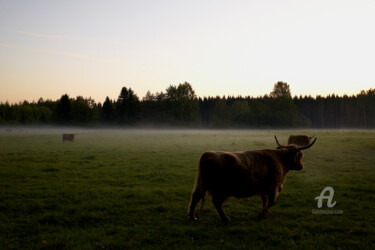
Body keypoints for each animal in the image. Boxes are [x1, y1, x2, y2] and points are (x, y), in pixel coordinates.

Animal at [188, 136, 318, 222]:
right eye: (300, 155)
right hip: (220, 189)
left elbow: (265, 201)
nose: (301, 166)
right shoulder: (273, 186)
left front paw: (263, 212)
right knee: (216, 202)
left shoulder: (264, 189)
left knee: (195, 197)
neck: (280, 160)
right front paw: (261, 214)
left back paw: (192, 216)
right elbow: (271, 201)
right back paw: (226, 219)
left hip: (200, 184)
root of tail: (207, 154)